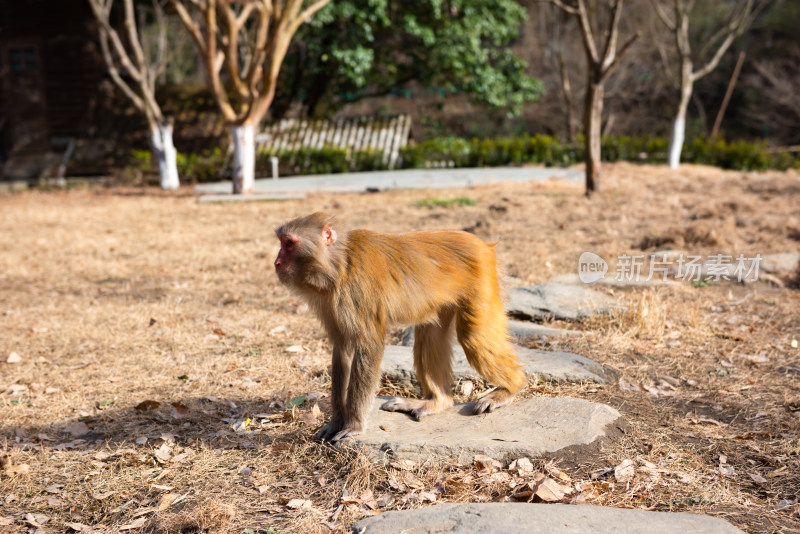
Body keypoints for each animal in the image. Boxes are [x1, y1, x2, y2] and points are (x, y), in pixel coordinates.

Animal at [274, 214, 524, 444]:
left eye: (289, 243)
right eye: (282, 241)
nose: (276, 262)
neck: (339, 264)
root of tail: (482, 244)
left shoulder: (358, 292)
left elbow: (369, 347)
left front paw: (354, 425)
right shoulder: (329, 302)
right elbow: (343, 350)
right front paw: (335, 422)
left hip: (481, 281)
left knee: (473, 338)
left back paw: (509, 388)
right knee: (431, 335)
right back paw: (437, 401)